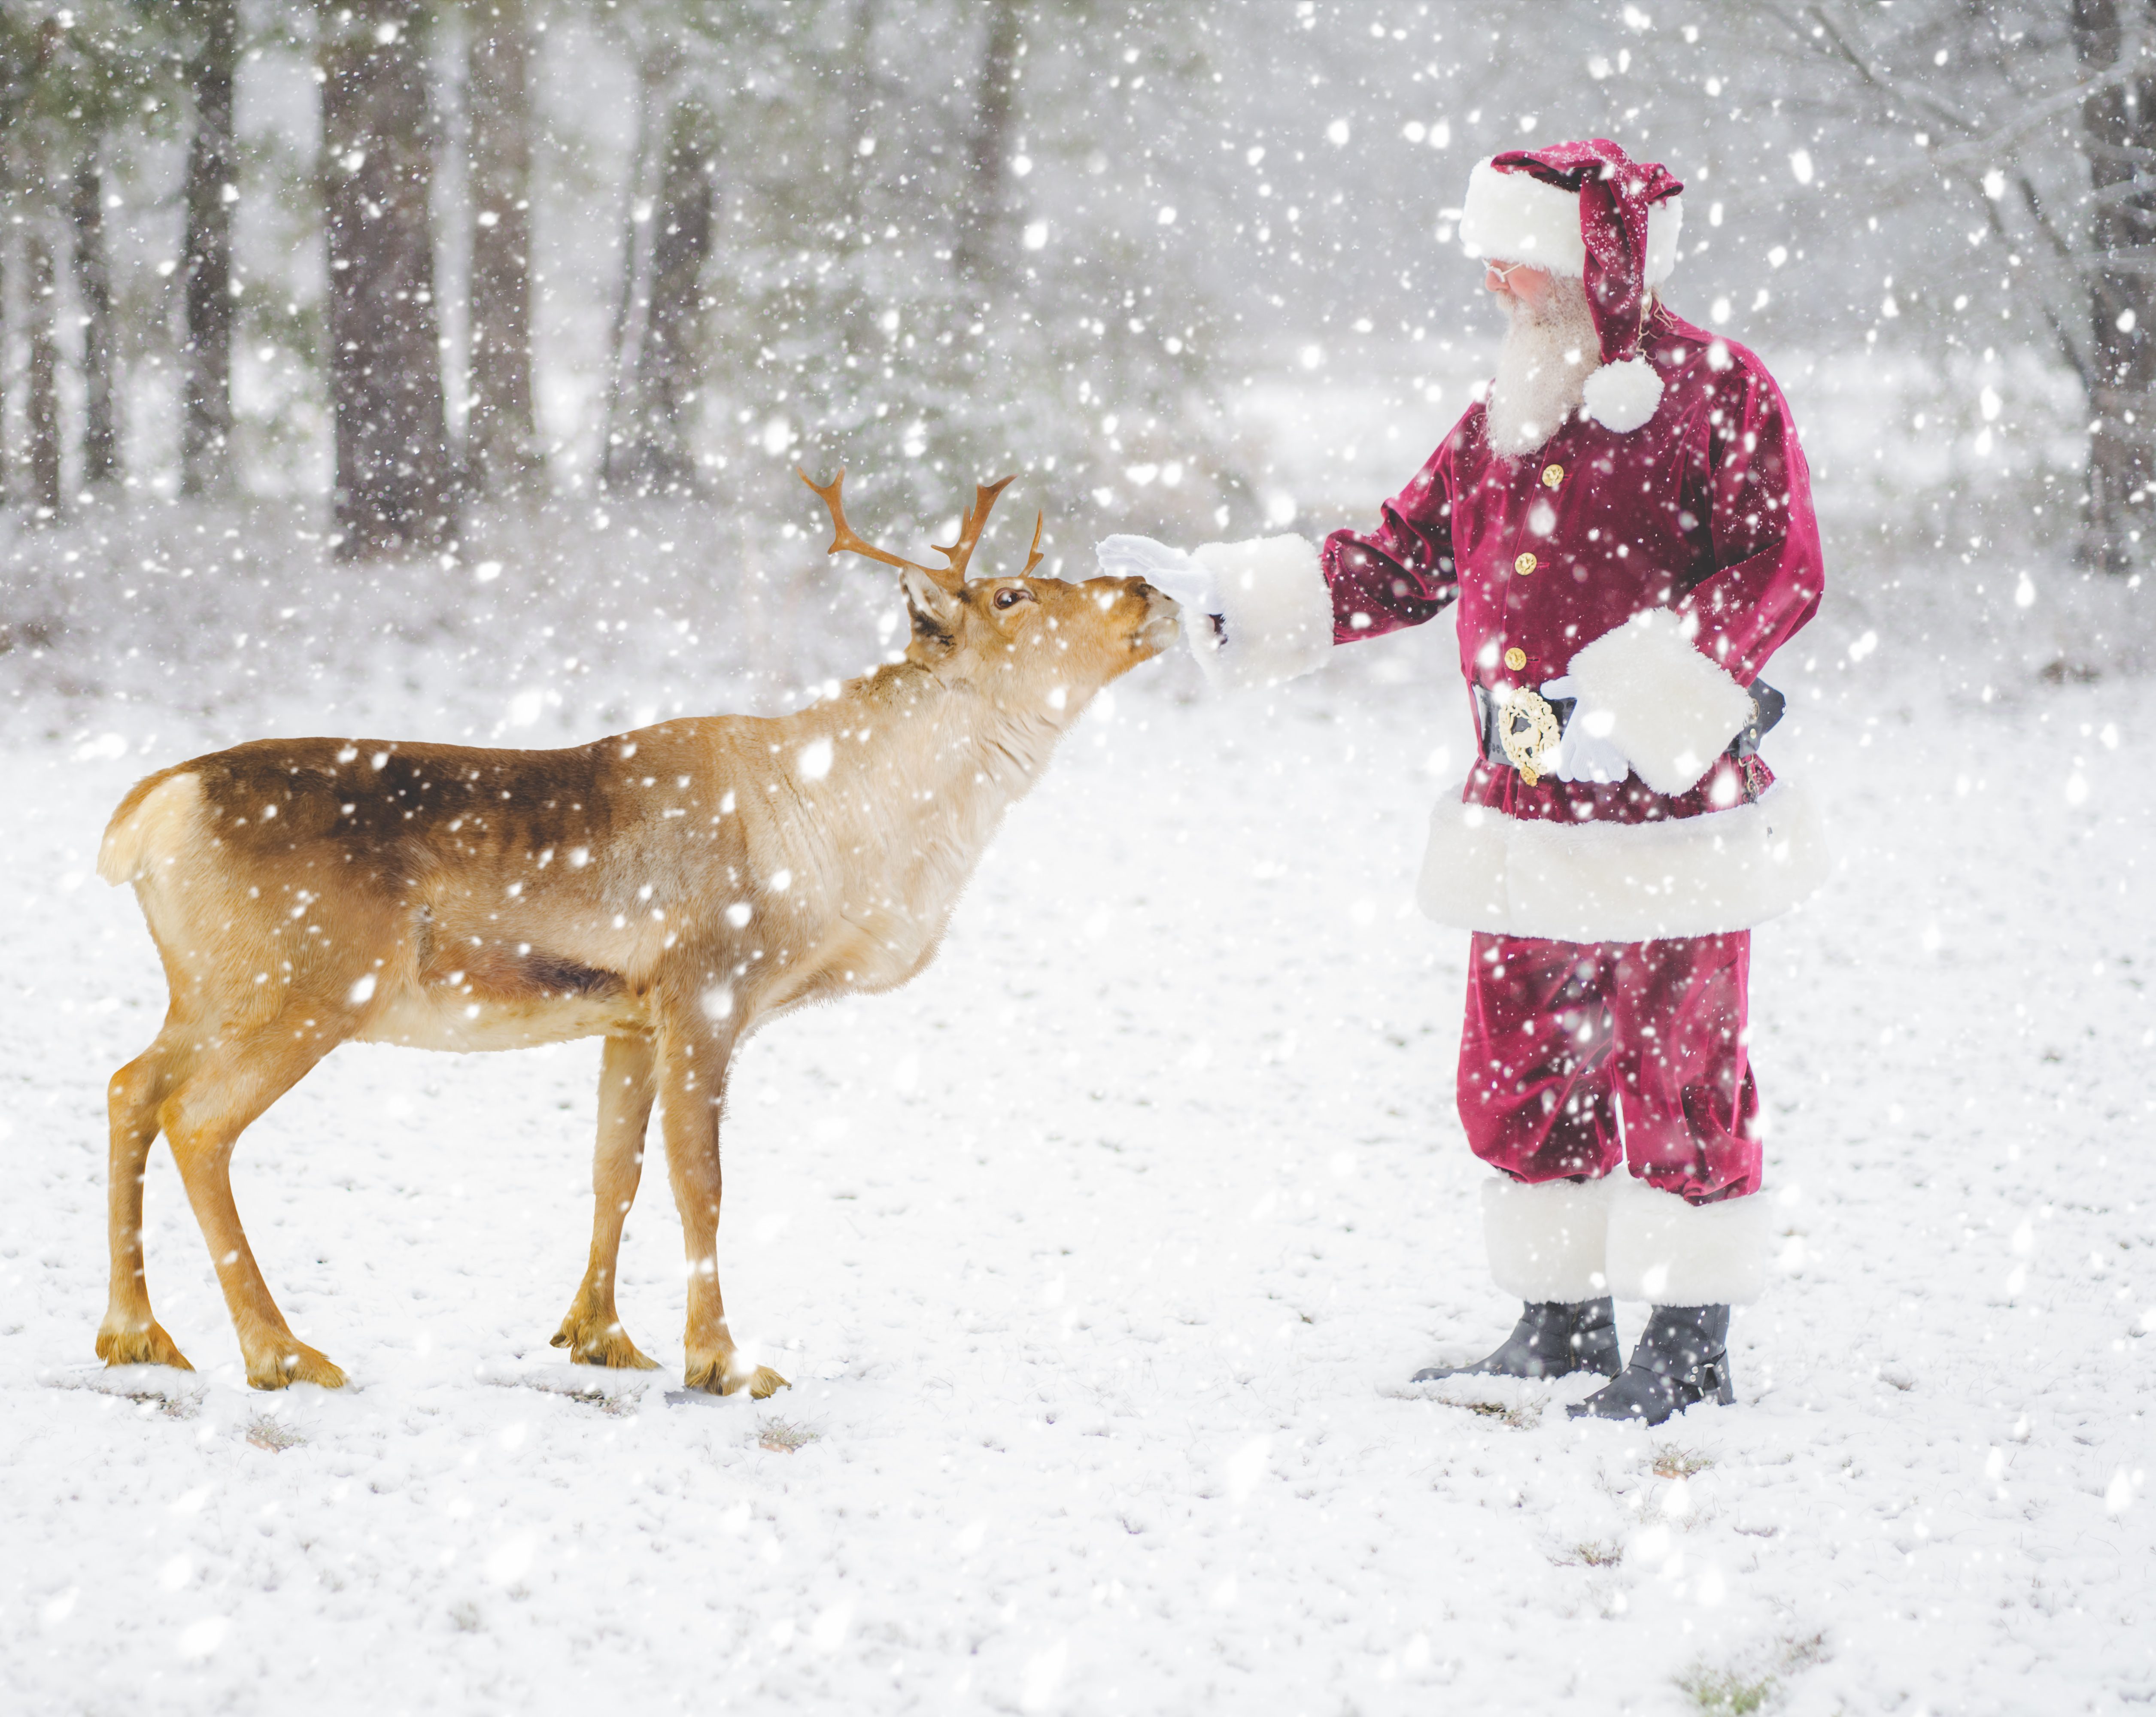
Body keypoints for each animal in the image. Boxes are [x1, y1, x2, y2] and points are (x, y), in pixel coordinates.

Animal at [93, 471, 1179, 1398]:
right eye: (1009, 595)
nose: (1146, 589)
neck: (843, 830)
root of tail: (147, 813)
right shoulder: (707, 990)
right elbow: (702, 1180)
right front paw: (725, 1360)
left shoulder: (626, 1016)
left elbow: (615, 1169)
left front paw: (601, 1335)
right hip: (310, 990)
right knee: (199, 1120)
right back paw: (280, 1351)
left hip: (208, 991)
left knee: (129, 1084)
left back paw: (136, 1334)